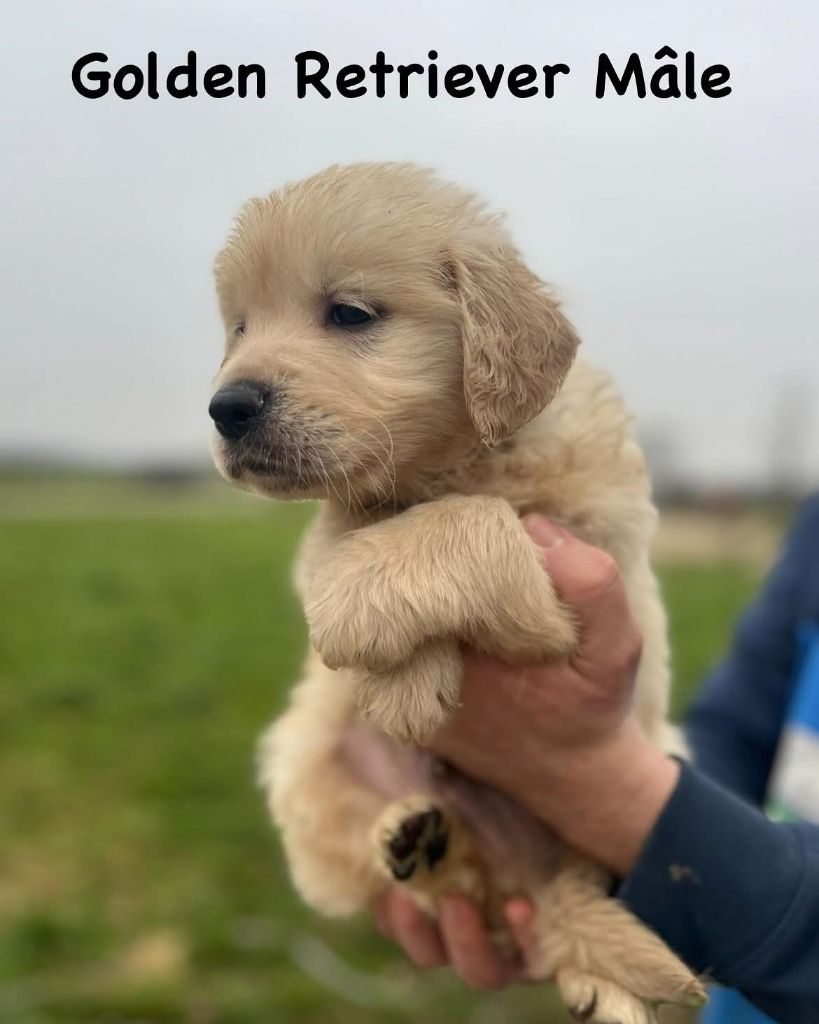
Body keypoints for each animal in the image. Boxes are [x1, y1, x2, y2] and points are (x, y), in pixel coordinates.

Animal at [207, 163, 708, 1019]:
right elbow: (354, 538)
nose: (226, 408)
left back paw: (603, 986)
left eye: (349, 313)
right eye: (239, 327)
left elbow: (474, 521)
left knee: (564, 895)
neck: (458, 457)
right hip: (302, 759)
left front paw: (370, 625)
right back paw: (419, 841)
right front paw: (407, 678)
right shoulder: (333, 530)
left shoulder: (578, 575)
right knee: (462, 892)